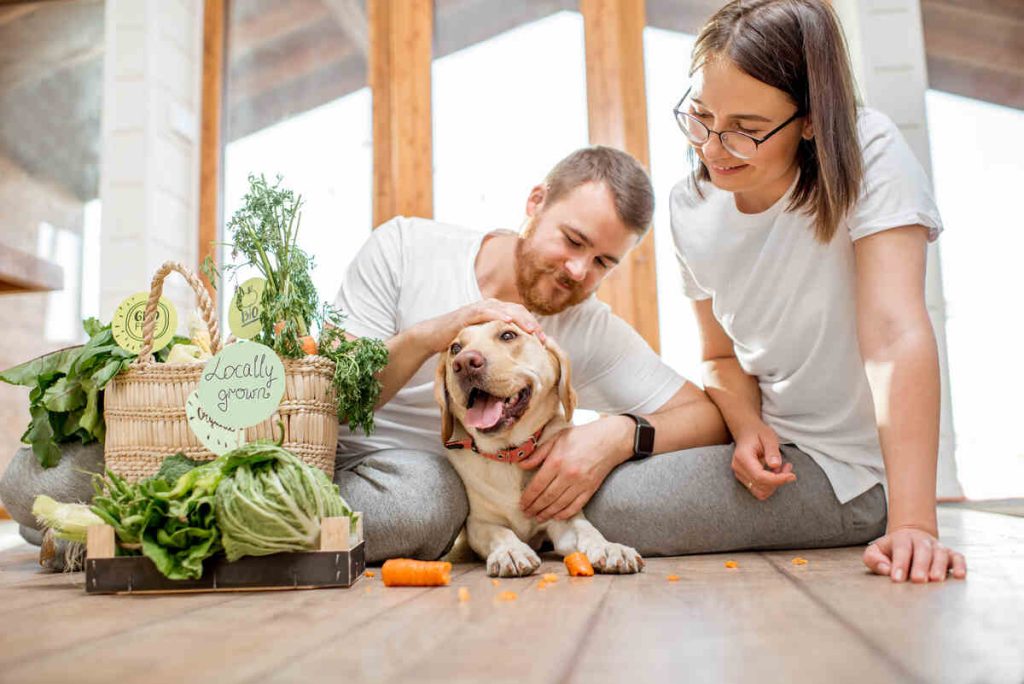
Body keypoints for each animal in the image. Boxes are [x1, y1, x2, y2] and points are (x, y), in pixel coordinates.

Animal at [434, 321, 643, 577]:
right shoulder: (479, 523)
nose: (463, 363)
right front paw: (511, 551)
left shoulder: (562, 518)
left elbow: (586, 528)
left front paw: (609, 547)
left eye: (508, 335)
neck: (510, 453)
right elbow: (500, 532)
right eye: (455, 348)